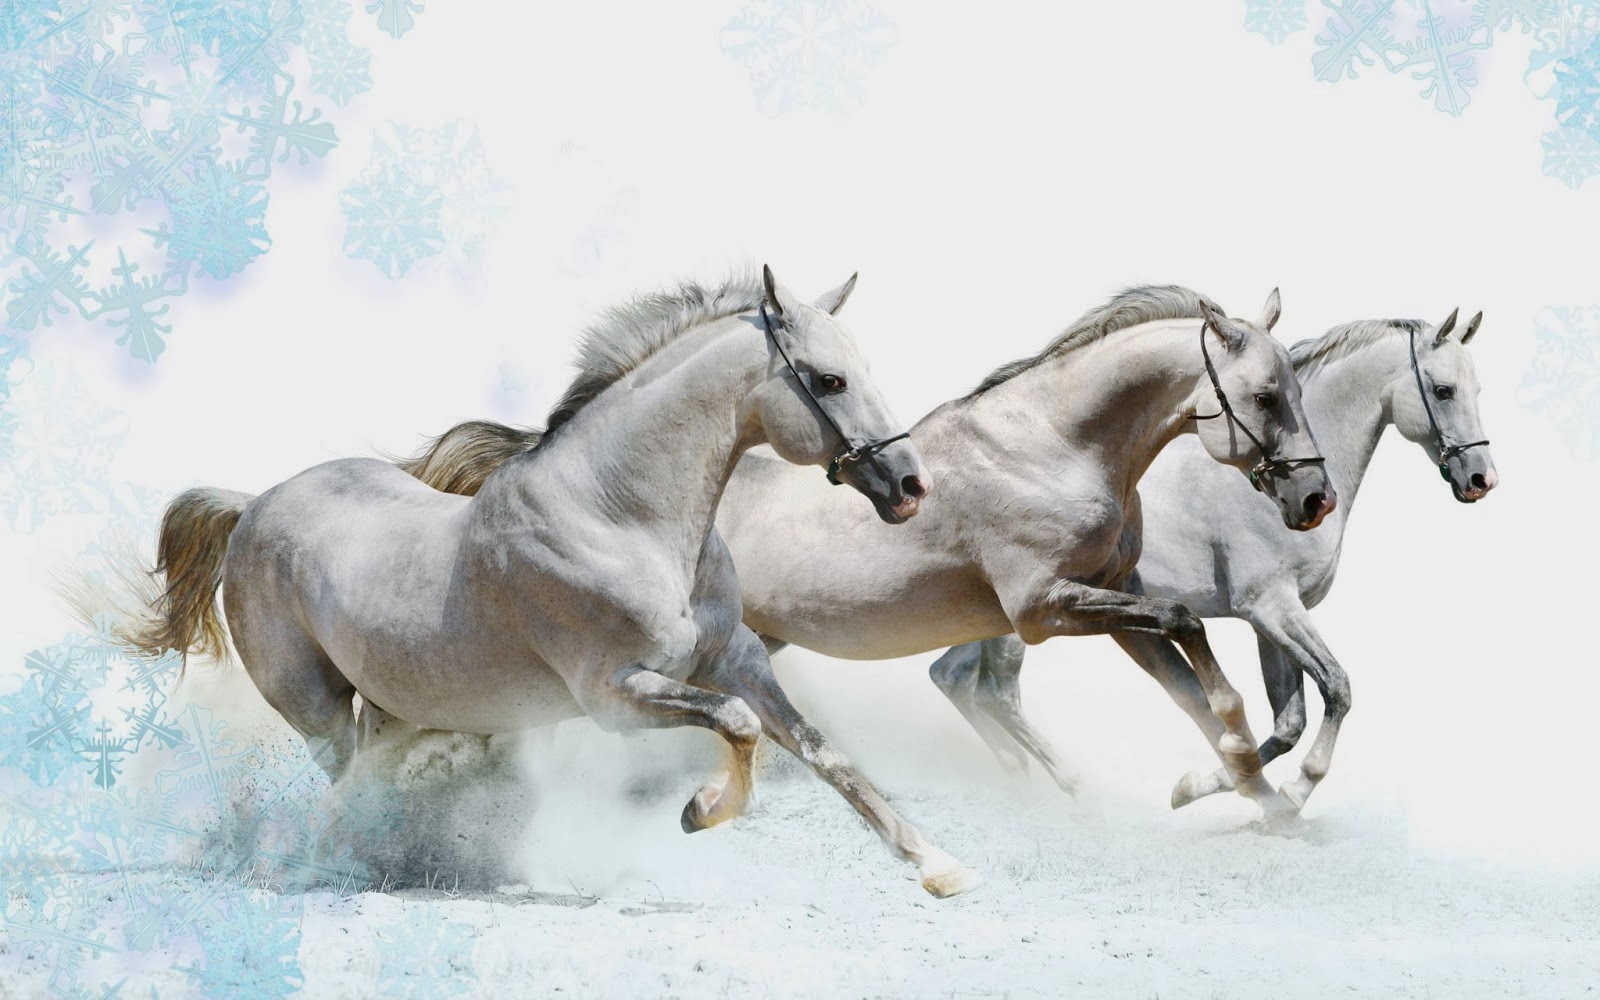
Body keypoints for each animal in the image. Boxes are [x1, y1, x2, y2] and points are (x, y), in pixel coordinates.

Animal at [119, 266, 982, 898]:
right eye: (829, 380)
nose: (911, 485)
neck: (620, 516)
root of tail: (254, 503)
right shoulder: (615, 696)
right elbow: (738, 727)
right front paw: (700, 813)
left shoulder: (736, 658)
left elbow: (822, 753)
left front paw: (940, 867)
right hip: (316, 708)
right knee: (348, 779)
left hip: (397, 704)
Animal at [394, 285, 1336, 816]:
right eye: (1265, 394)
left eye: (1294, 389)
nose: (1313, 498)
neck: (1056, 445)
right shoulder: (1043, 608)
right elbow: (1189, 627)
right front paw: (1241, 770)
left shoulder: (1108, 605)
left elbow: (1193, 679)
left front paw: (1253, 797)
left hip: (739, 647)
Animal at [925, 308, 1497, 813]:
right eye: (1444, 390)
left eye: (1476, 390)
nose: (1481, 480)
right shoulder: (1271, 608)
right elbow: (1336, 688)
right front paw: (1289, 792)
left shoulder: (1271, 620)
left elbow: (1288, 722)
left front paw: (1209, 786)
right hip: (1029, 620)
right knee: (996, 693)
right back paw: (1069, 787)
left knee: (951, 676)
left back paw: (1017, 781)